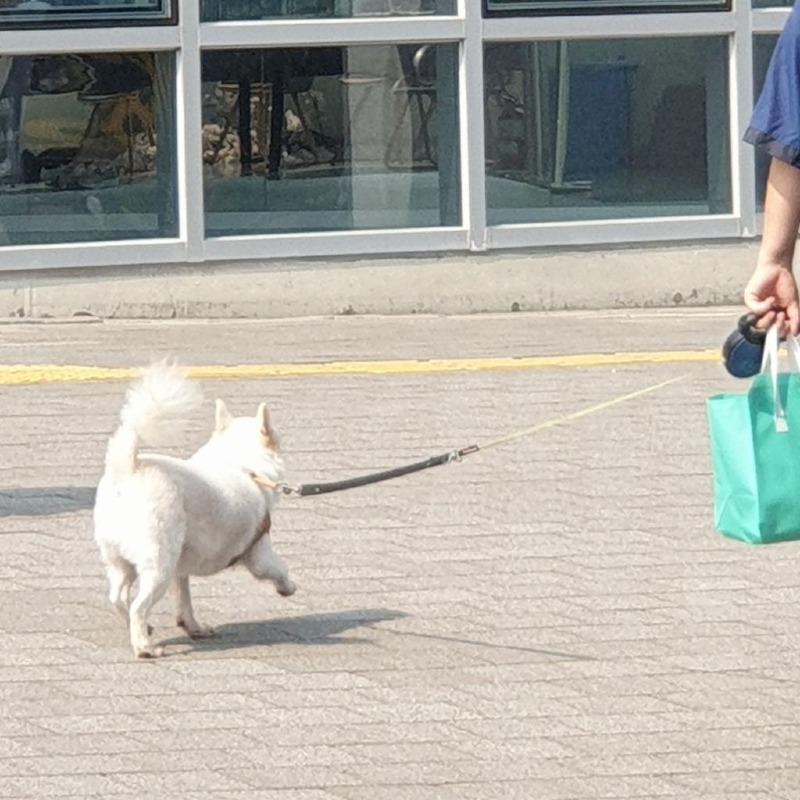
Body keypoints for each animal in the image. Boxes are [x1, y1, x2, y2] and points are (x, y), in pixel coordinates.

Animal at [94, 362, 294, 656]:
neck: (241, 464)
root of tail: (129, 469)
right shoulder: (259, 552)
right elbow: (277, 569)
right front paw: (288, 587)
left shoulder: (181, 567)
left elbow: (184, 598)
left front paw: (193, 626)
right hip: (159, 564)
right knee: (138, 606)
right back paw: (144, 646)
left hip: (119, 561)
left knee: (118, 598)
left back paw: (143, 629)